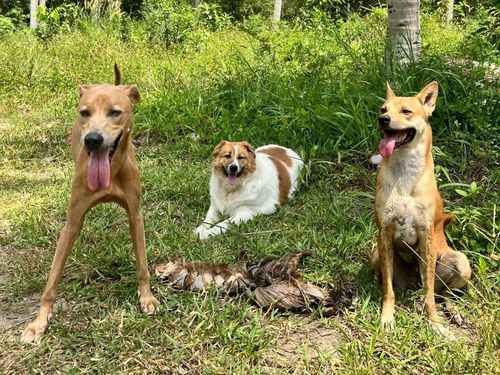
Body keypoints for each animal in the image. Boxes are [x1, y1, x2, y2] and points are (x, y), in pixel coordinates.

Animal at [21, 65, 156, 344]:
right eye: (85, 112)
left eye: (115, 112)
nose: (93, 139)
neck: (111, 172)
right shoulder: (72, 222)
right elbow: (52, 280)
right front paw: (39, 322)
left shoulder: (135, 215)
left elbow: (142, 263)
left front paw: (147, 297)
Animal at [372, 81, 472, 338]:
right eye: (383, 109)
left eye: (406, 111)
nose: (383, 120)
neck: (404, 171)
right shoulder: (383, 233)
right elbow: (388, 290)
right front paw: (387, 318)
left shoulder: (426, 235)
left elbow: (429, 296)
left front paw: (434, 323)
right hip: (376, 253)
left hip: (460, 262)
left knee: (441, 292)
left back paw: (454, 311)